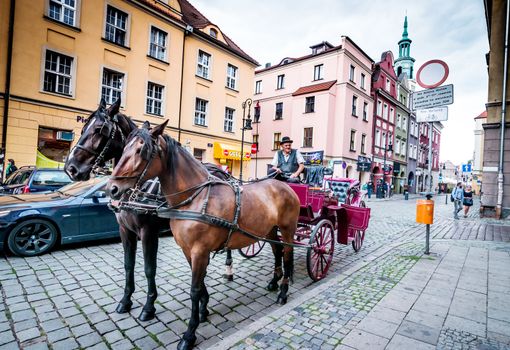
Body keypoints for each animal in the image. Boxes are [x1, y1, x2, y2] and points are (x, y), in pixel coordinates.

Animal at [64, 98, 233, 320]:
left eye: (99, 129)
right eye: (84, 128)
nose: (71, 168)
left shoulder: (148, 232)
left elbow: (149, 268)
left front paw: (149, 306)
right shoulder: (125, 231)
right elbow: (129, 265)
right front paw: (126, 301)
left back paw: (229, 269)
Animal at [106, 121, 298, 350]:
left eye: (140, 151)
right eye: (124, 147)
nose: (111, 188)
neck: (194, 198)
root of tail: (283, 184)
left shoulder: (199, 251)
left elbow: (194, 289)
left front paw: (190, 333)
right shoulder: (188, 250)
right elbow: (199, 283)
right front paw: (203, 310)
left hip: (287, 230)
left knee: (287, 255)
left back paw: (283, 292)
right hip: (268, 229)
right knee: (277, 250)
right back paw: (273, 281)